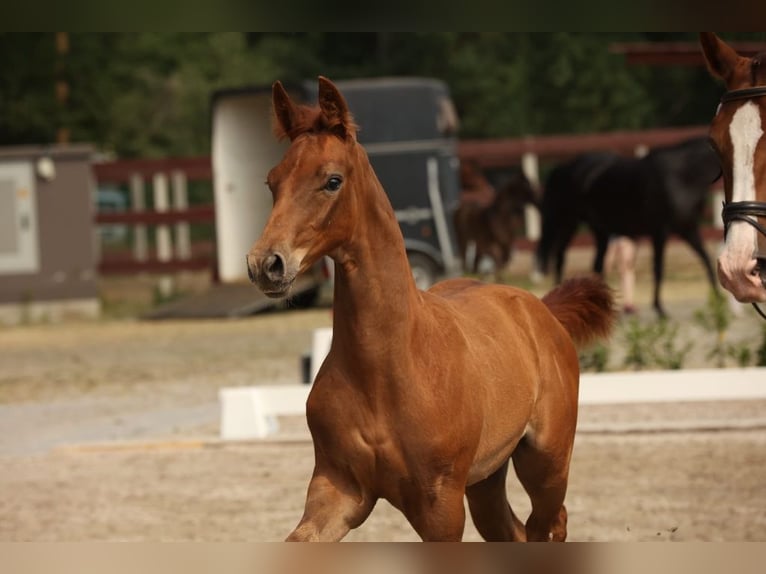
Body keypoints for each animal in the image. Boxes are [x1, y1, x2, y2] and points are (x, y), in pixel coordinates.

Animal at [246, 77, 616, 544]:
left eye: (332, 180)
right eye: (271, 182)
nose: (266, 264)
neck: (388, 365)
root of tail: (541, 310)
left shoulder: (440, 507)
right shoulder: (338, 489)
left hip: (546, 462)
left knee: (549, 523)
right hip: (486, 479)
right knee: (510, 529)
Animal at [536, 137, 724, 318]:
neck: (682, 175)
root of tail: (564, 168)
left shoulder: (688, 230)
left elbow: (706, 260)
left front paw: (718, 301)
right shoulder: (660, 232)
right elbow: (659, 269)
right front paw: (660, 309)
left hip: (599, 230)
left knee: (595, 264)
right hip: (568, 223)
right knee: (560, 258)